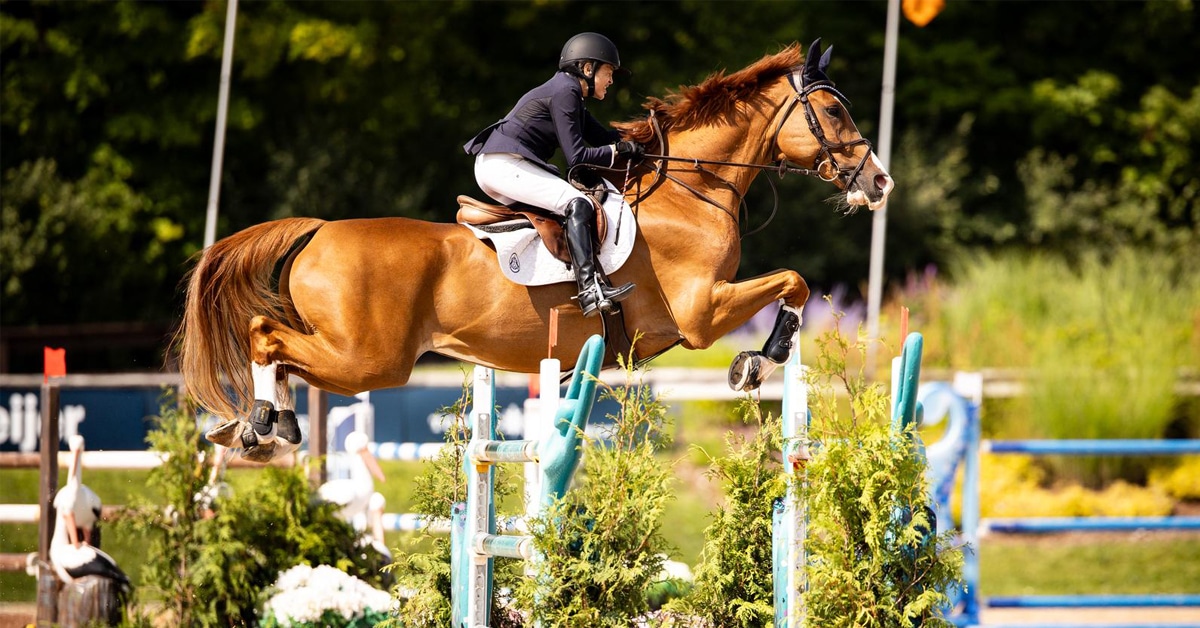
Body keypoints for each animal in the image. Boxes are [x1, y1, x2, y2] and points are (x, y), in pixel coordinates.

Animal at [180, 40, 894, 462]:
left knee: (275, 346)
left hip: (356, 355)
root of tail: (320, 230)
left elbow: (793, 283)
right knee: (265, 335)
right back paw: (262, 419)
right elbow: (794, 282)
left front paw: (760, 359)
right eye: (833, 113)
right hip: (367, 359)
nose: (879, 182)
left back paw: (266, 425)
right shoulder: (701, 315)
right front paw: (755, 362)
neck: (693, 190)